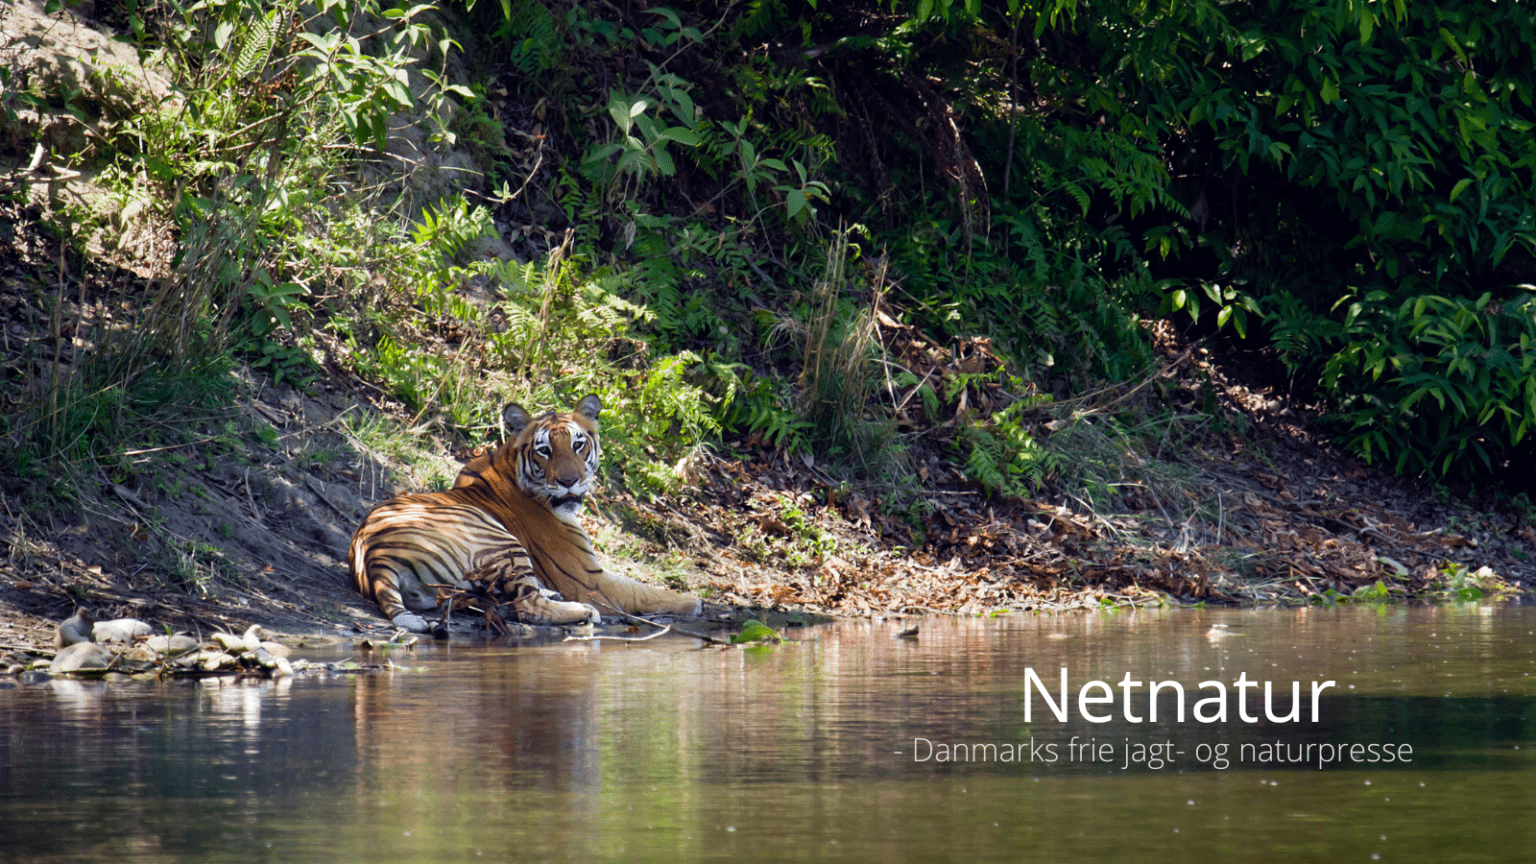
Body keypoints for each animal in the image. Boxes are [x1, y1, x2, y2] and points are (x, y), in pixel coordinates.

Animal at [348, 393, 702, 634]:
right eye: (544, 450)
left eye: (578, 445)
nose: (569, 481)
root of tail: (373, 554)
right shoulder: (589, 580)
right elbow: (645, 590)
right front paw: (694, 601)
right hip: (499, 540)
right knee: (527, 606)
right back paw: (583, 612)